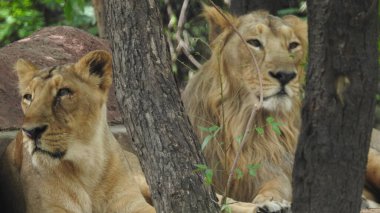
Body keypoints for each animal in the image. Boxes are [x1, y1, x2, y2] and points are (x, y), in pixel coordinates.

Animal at [0, 50, 156, 213]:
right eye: (28, 97)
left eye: (63, 92)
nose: (31, 132)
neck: (87, 165)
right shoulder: (49, 208)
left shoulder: (131, 201)